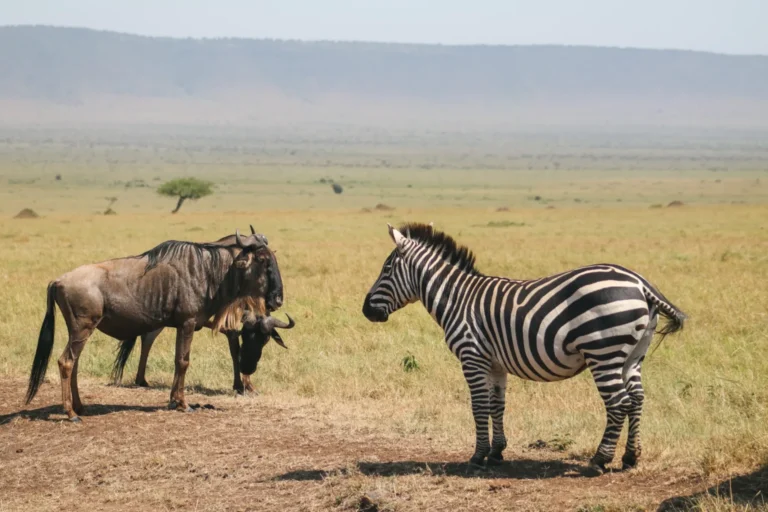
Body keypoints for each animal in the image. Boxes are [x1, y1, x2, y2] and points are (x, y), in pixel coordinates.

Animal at [364, 222, 688, 474]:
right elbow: (497, 405)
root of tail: (640, 283)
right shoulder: (495, 363)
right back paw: (631, 458)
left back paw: (599, 460)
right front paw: (497, 452)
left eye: (386, 268)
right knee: (637, 399)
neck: (457, 298)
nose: (366, 311)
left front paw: (478, 457)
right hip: (632, 355)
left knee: (619, 403)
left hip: (603, 351)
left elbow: (478, 406)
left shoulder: (471, 356)